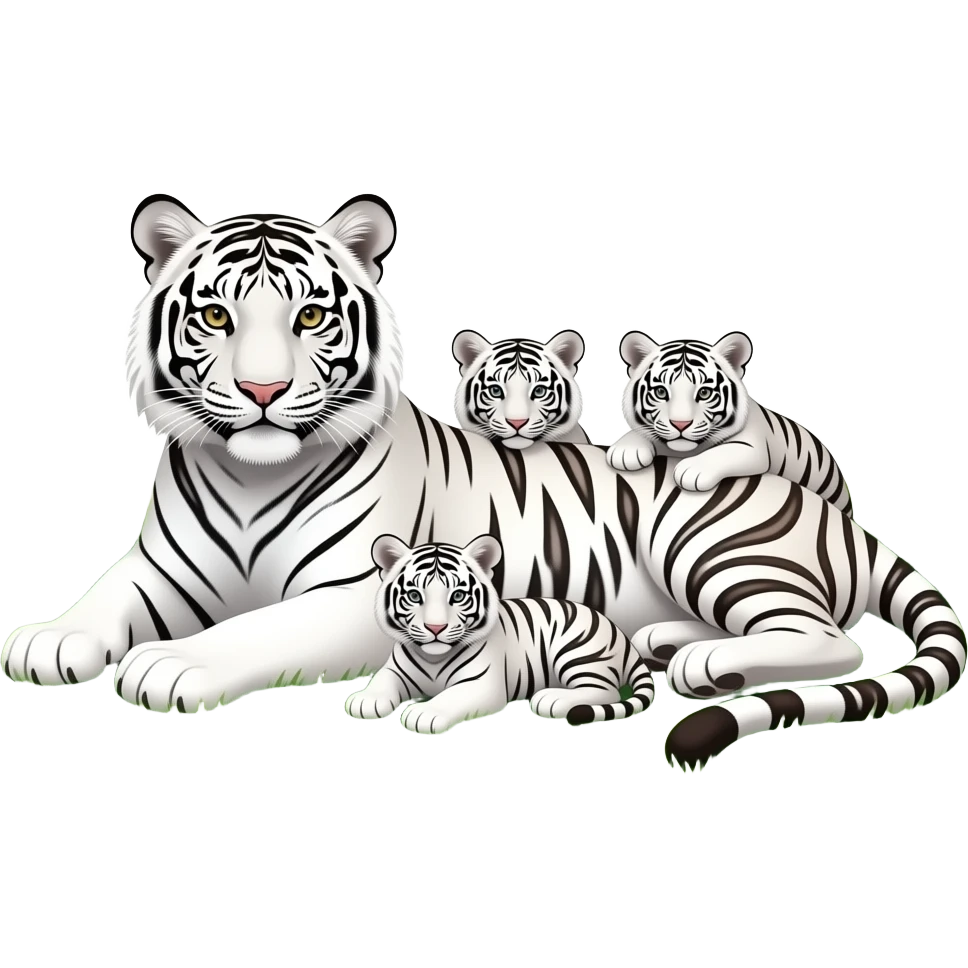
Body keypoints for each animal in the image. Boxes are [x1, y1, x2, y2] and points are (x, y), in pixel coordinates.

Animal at [345, 534, 655, 734]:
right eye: (413, 595)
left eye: (457, 596)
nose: (436, 628)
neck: (433, 659)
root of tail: (619, 633)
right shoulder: (395, 670)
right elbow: (382, 680)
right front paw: (364, 700)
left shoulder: (481, 685)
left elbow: (450, 697)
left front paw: (425, 712)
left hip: (575, 651)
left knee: (605, 689)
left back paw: (551, 699)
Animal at [607, 330, 854, 517]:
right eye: (660, 392)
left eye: (704, 393)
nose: (680, 424)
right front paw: (625, 451)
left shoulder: (753, 447)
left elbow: (724, 451)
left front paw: (692, 470)